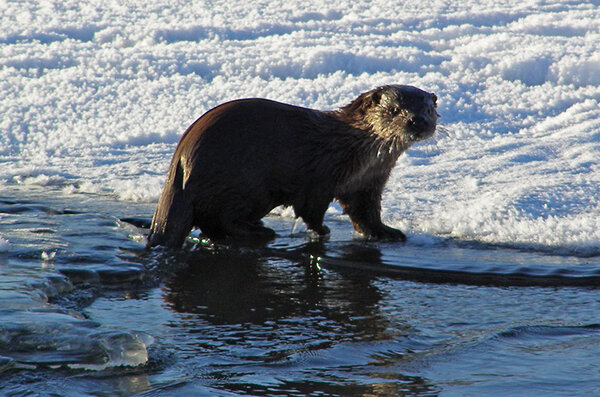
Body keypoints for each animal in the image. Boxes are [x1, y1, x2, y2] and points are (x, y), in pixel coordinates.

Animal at [145, 85, 436, 248]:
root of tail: (180, 164)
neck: (350, 146)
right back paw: (260, 230)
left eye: (428, 110)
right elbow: (311, 210)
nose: (417, 121)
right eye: (395, 110)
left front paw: (387, 232)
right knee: (219, 219)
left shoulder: (367, 184)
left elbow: (366, 214)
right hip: (248, 186)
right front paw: (321, 231)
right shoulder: (319, 179)